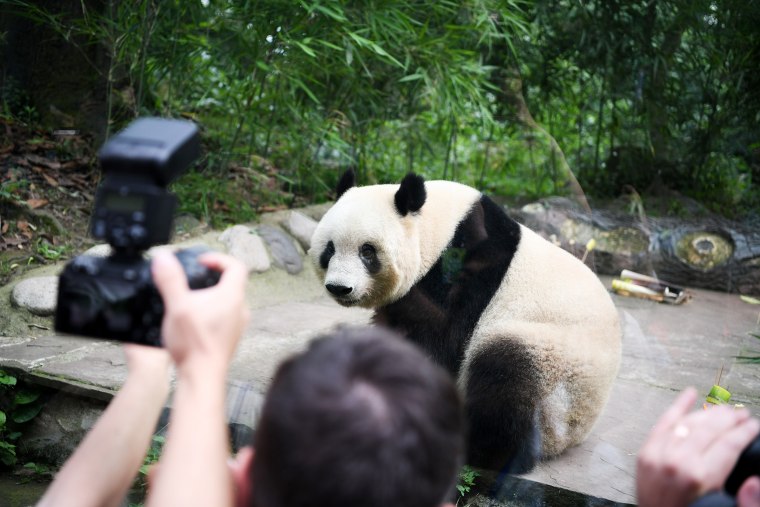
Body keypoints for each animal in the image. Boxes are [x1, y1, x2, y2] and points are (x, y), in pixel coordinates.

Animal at [306, 172, 620, 476]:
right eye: (329, 249)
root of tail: (572, 436)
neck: (440, 226)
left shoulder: (467, 267)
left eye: (367, 251)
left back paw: (479, 448)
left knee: (506, 373)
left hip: (558, 364)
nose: (340, 288)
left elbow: (438, 341)